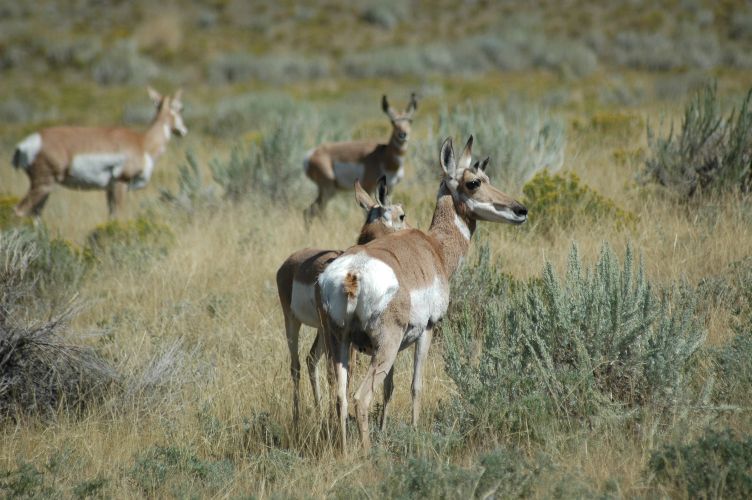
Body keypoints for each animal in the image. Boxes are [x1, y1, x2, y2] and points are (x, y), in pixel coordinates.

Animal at [11, 87, 187, 218]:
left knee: (35, 215)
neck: (142, 142)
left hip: (46, 189)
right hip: (43, 185)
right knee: (19, 211)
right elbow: (118, 218)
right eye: (180, 108)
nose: (183, 131)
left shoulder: (109, 190)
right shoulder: (120, 184)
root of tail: (30, 141)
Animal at [276, 177, 407, 427]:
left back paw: (319, 412)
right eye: (402, 215)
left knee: (311, 360)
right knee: (296, 366)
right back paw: (298, 418)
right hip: (293, 322)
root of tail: (289, 262)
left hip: (322, 331)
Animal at [318, 135, 528, 449]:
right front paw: (415, 432)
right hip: (385, 345)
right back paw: (367, 454)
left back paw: (345, 451)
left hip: (341, 343)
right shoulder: (427, 330)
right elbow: (416, 385)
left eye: (487, 178)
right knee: (361, 398)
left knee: (341, 398)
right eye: (474, 182)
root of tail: (353, 274)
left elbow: (390, 388)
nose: (520, 210)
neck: (434, 247)